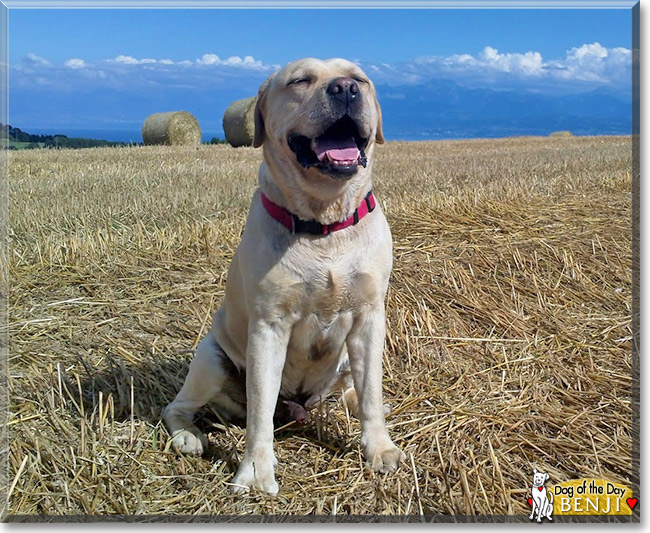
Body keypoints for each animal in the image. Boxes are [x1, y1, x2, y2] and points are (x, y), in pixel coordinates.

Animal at [163, 56, 400, 492]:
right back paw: (189, 436)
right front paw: (257, 471)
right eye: (300, 81)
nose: (344, 89)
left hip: (344, 361)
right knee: (178, 406)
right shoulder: (269, 327)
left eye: (359, 79)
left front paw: (378, 447)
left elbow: (371, 392)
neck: (325, 224)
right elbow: (259, 413)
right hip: (211, 359)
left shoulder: (370, 318)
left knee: (354, 388)